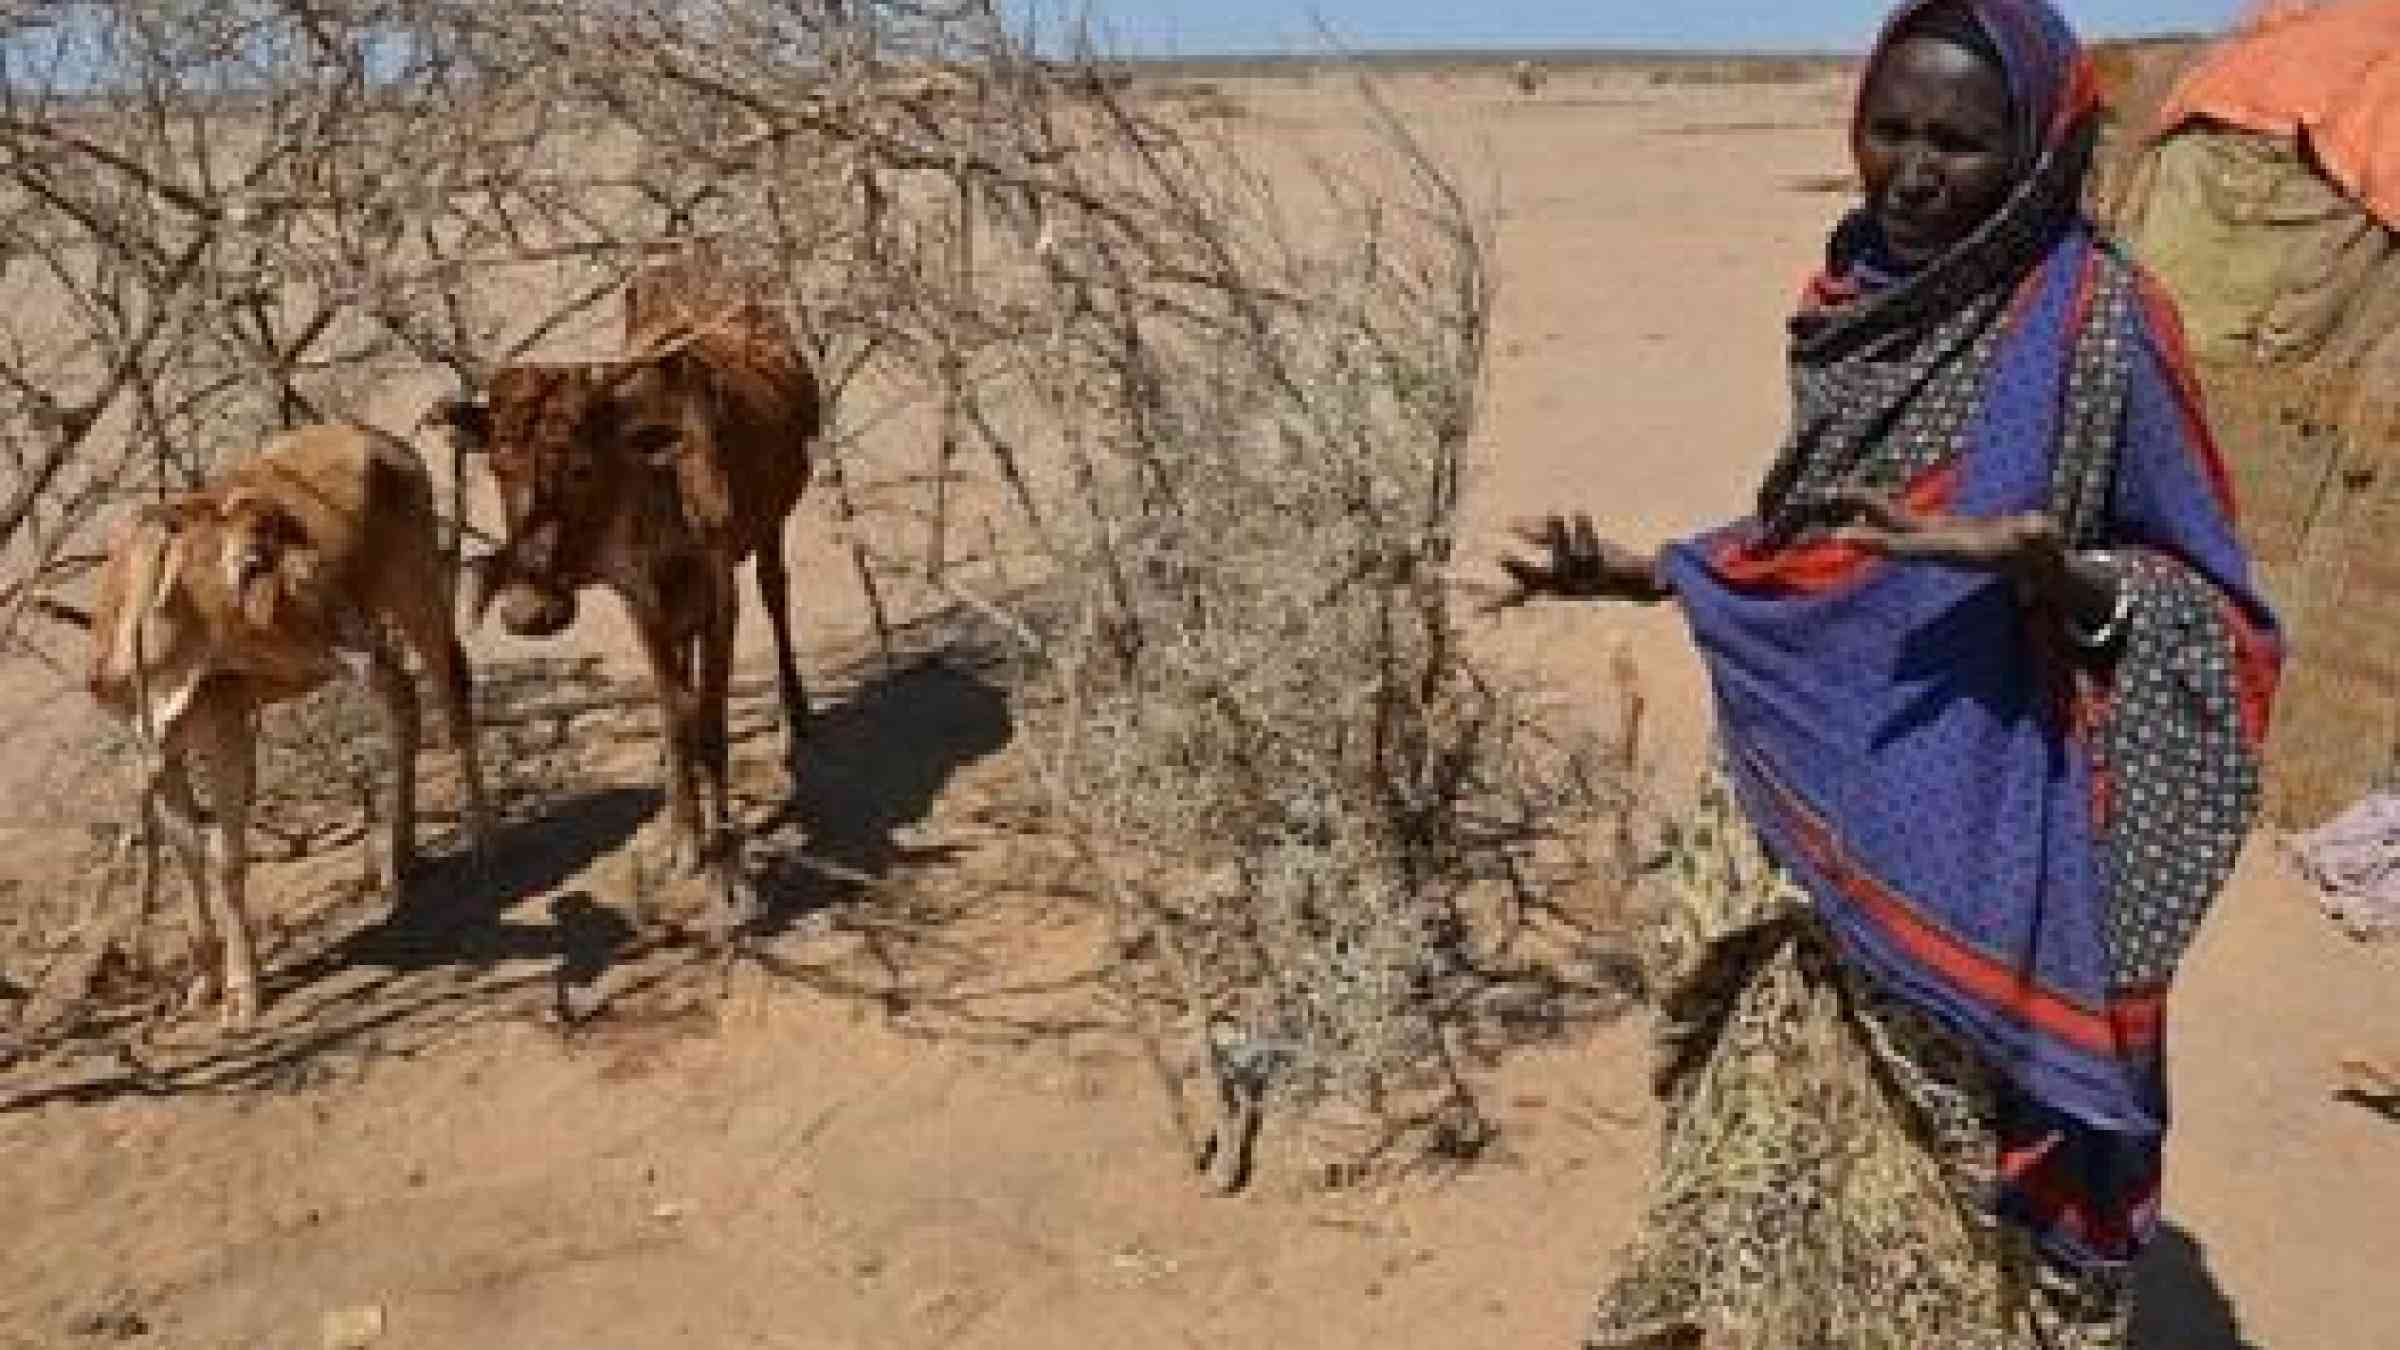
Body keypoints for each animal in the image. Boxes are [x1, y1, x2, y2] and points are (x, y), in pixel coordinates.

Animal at [87, 417, 492, 1018]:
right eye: (253, 560)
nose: (339, 614)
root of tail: (386, 443)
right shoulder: (158, 751)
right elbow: (189, 858)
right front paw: (201, 986)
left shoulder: (227, 731)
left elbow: (226, 859)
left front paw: (243, 993)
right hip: (370, 651)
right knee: (402, 697)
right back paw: (400, 865)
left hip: (412, 593)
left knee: (452, 689)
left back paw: (484, 837)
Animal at [436, 243, 830, 922]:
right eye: (498, 469)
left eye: (581, 466)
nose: (527, 610)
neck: (656, 494)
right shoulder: (638, 600)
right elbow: (675, 713)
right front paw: (684, 838)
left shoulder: (719, 591)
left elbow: (711, 723)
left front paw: (729, 873)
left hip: (770, 525)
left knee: (776, 594)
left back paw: (796, 714)